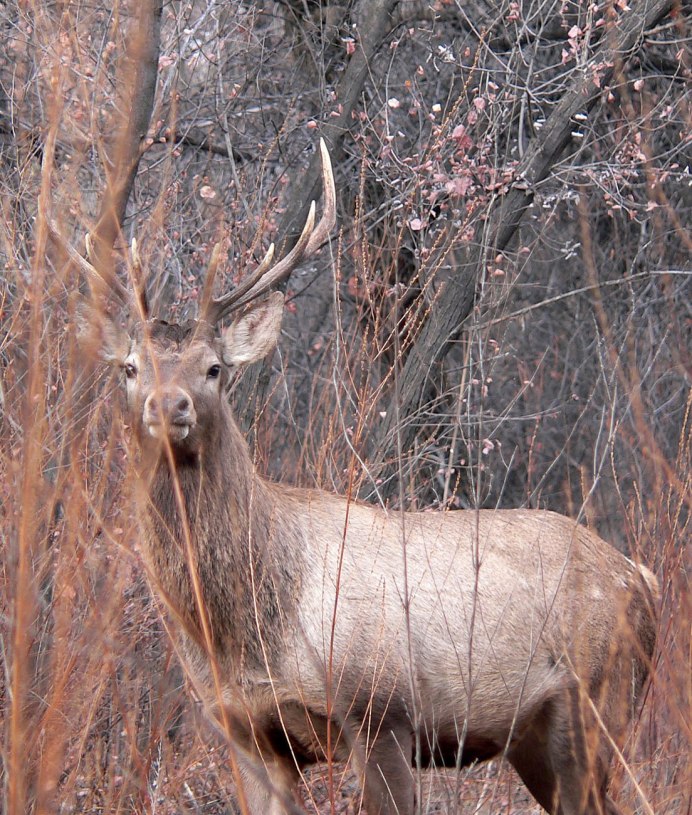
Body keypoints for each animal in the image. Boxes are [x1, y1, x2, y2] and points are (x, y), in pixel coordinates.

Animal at [77, 142, 660, 815]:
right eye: (129, 367)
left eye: (215, 368)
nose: (167, 406)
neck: (248, 634)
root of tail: (643, 577)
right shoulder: (243, 732)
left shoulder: (382, 709)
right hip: (537, 738)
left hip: (599, 701)